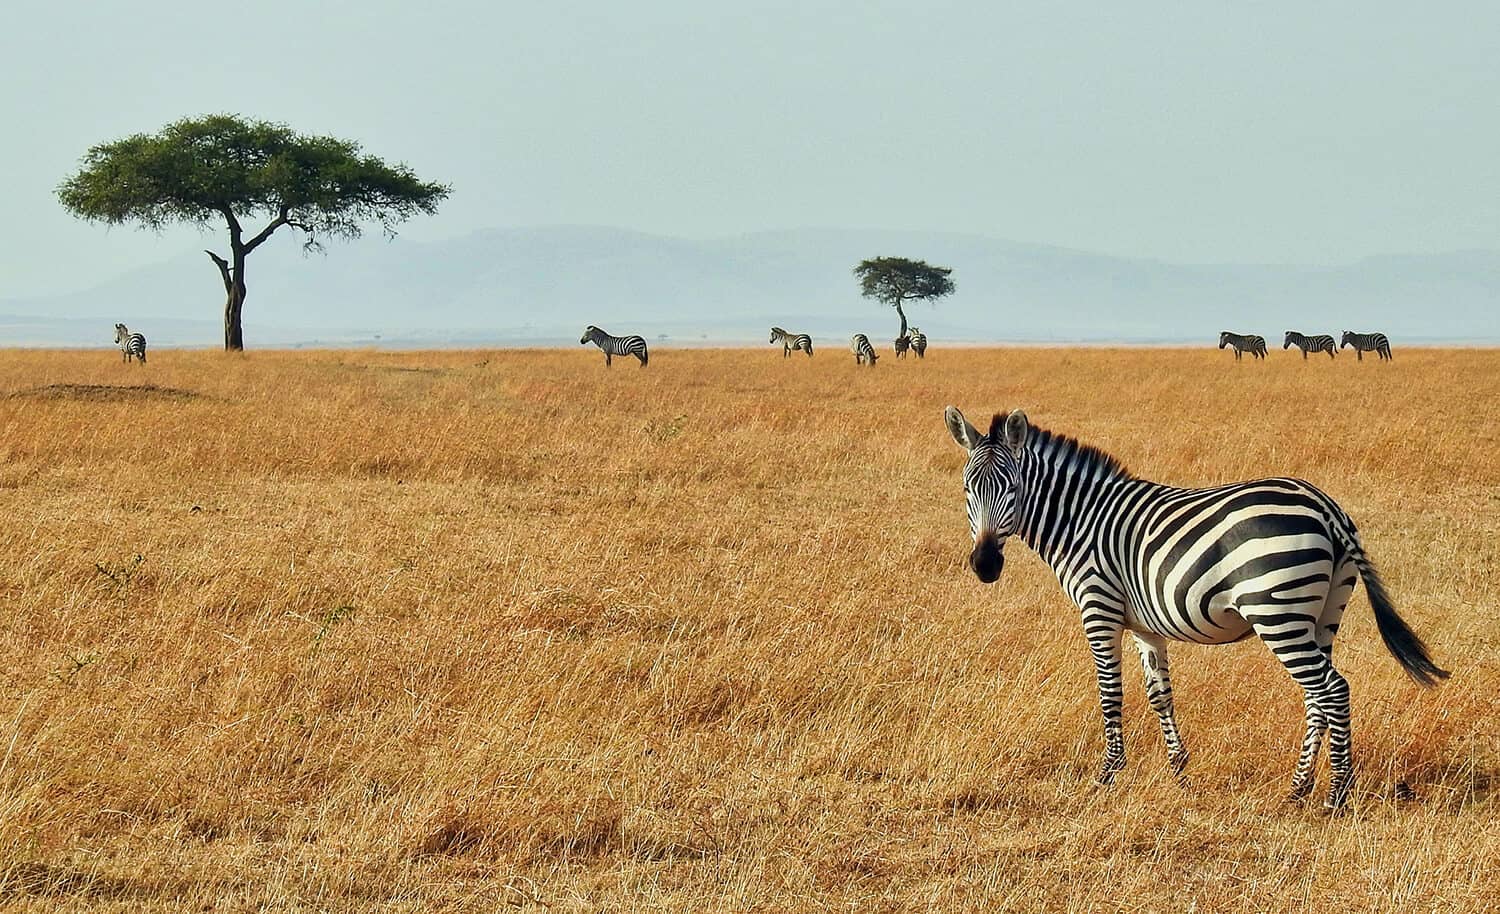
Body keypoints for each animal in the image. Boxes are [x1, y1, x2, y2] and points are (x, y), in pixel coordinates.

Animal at [942, 411, 1446, 810]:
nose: (985, 565)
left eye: (1011, 488)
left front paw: (1108, 774)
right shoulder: (1145, 626)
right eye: (967, 489)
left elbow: (1110, 694)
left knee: (1334, 690)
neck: (1081, 520)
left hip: (1277, 611)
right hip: (1322, 615)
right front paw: (1178, 770)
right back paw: (1299, 788)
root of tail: (1326, 507)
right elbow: (1160, 695)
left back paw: (1336, 795)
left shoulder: (1099, 608)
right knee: (1317, 696)